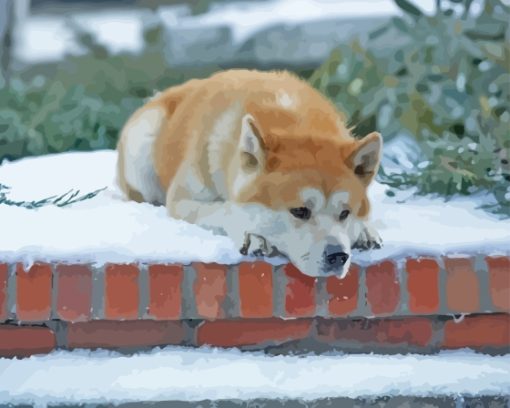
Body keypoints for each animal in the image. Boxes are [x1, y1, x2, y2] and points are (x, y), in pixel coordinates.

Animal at [117, 69, 382, 278]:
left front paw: (365, 230)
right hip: (141, 147)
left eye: (345, 213)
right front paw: (252, 236)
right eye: (300, 211)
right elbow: (226, 209)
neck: (292, 121)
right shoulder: (182, 200)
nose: (338, 256)